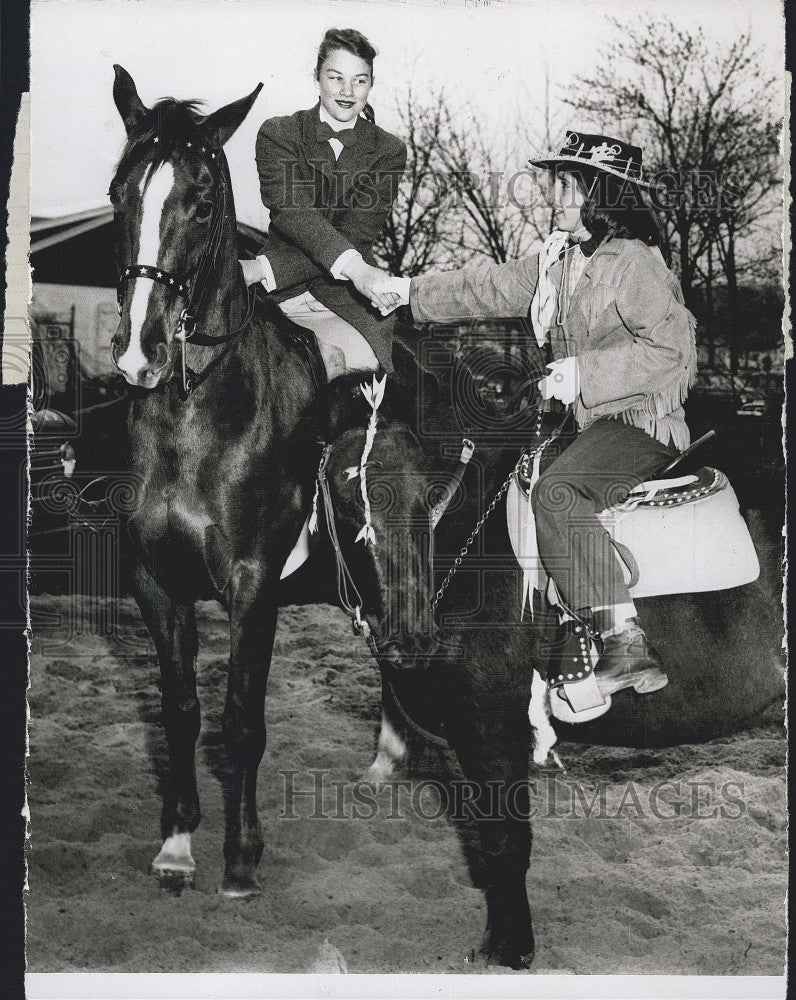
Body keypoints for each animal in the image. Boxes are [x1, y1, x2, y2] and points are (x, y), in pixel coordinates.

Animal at [107, 68, 784, 968]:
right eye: (121, 192)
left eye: (205, 197)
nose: (140, 351)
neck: (197, 415)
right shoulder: (157, 582)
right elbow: (179, 710)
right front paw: (177, 846)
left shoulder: (253, 586)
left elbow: (241, 719)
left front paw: (241, 860)